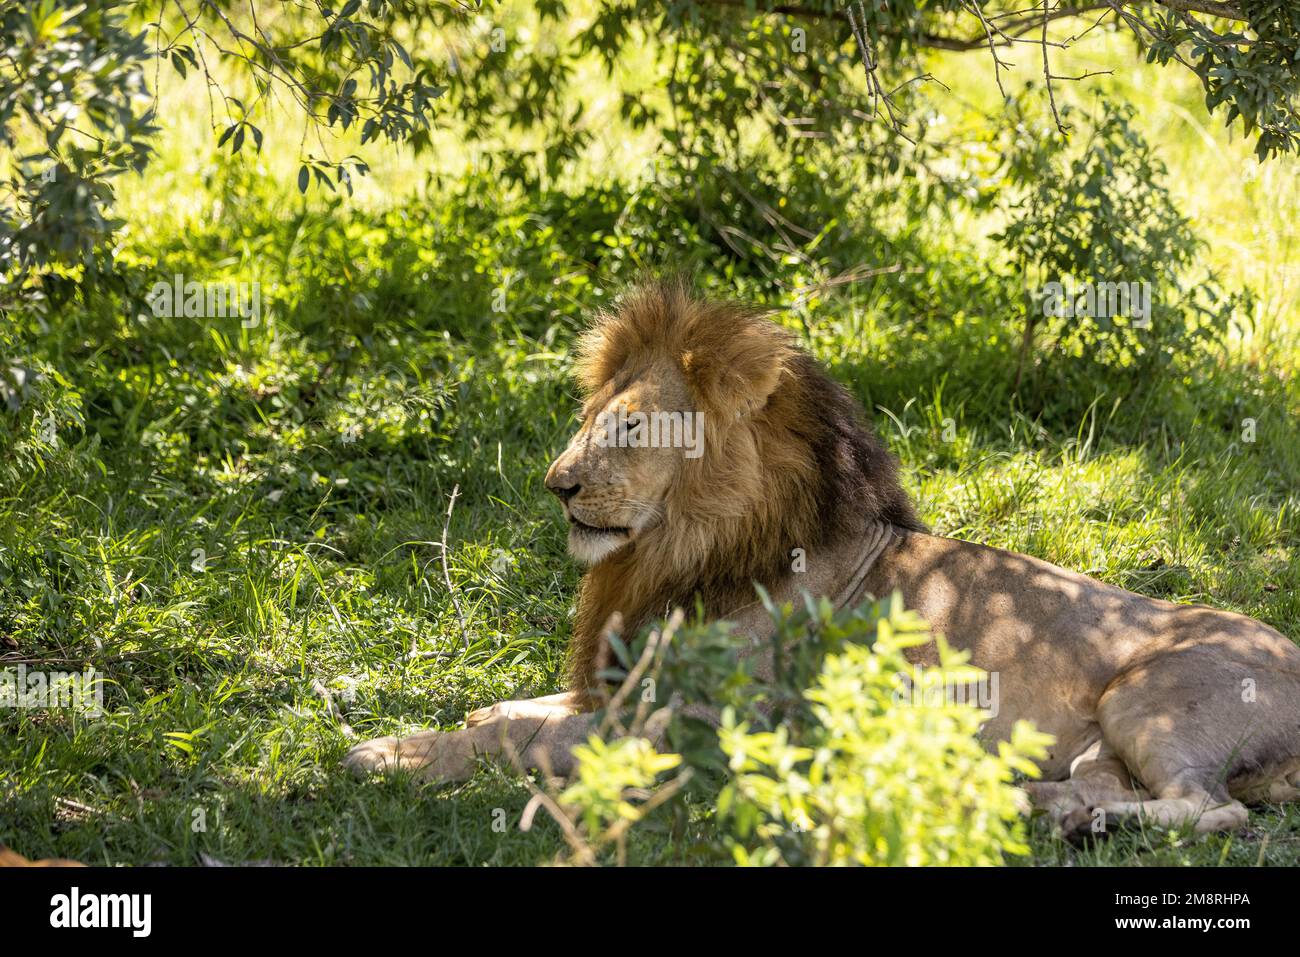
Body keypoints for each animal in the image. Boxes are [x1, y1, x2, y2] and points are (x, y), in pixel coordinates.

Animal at [346, 279, 1300, 837]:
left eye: (632, 426)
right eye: (590, 419)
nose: (557, 485)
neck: (681, 550)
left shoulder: (695, 729)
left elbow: (524, 736)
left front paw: (391, 754)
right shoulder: (631, 684)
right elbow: (523, 708)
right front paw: (462, 718)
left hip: (1144, 699)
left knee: (1215, 812)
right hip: (1099, 744)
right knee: (1119, 788)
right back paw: (1041, 806)